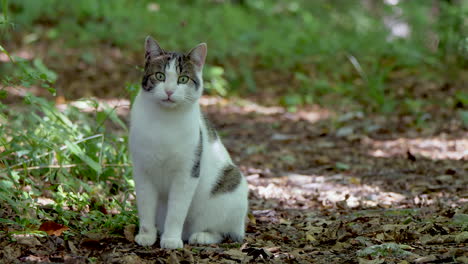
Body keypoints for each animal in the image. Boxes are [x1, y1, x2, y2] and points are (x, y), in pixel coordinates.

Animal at [128, 36, 249, 249]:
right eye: (160, 76)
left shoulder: (187, 172)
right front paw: (146, 235)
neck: (164, 121)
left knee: (224, 232)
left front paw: (171, 239)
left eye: (182, 79)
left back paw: (202, 236)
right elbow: (145, 206)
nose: (169, 91)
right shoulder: (142, 170)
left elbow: (176, 210)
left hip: (232, 185)